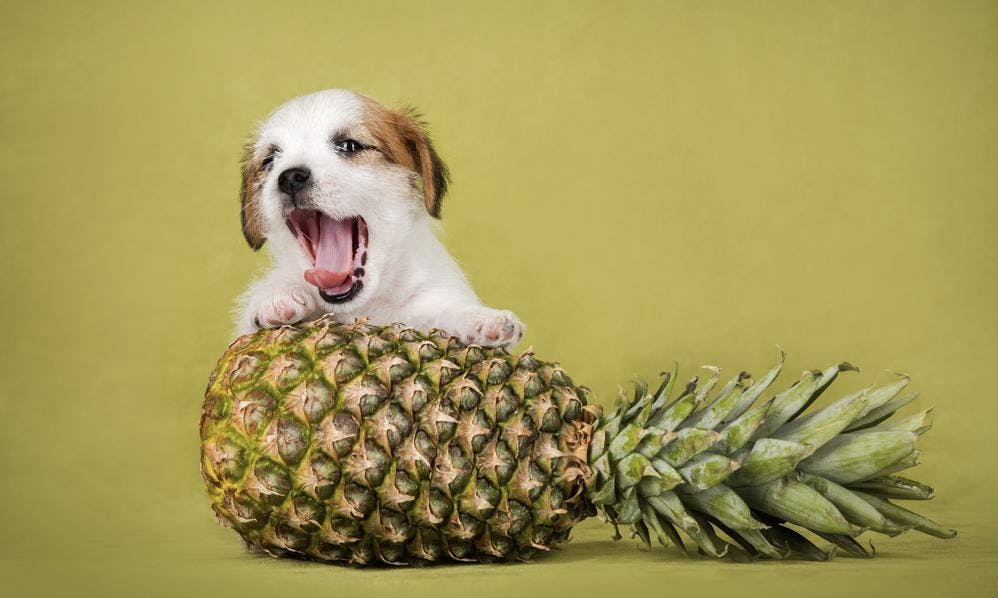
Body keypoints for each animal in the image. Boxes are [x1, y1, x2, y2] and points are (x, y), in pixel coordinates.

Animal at [233, 91, 524, 350]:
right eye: (269, 161)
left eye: (350, 145)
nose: (290, 177)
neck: (366, 306)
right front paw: (275, 296)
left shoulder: (432, 296)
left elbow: (444, 310)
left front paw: (480, 318)